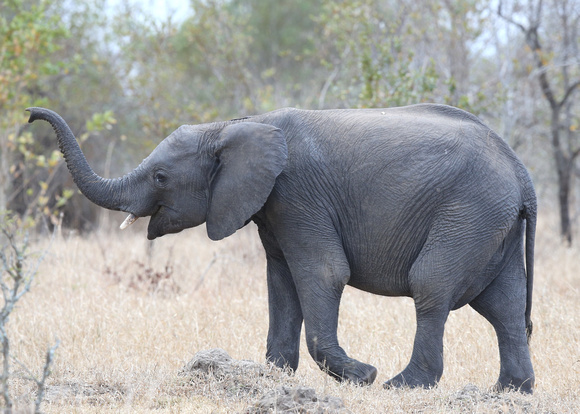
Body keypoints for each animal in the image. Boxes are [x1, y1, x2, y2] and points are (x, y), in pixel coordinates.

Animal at [26, 102, 536, 392]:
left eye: (160, 177)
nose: (30, 114)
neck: (233, 125)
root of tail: (520, 169)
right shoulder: (272, 205)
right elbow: (281, 281)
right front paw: (269, 379)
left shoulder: (296, 193)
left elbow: (323, 273)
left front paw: (362, 376)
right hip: (491, 223)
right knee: (505, 307)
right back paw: (510, 392)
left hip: (468, 212)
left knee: (431, 287)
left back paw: (401, 386)